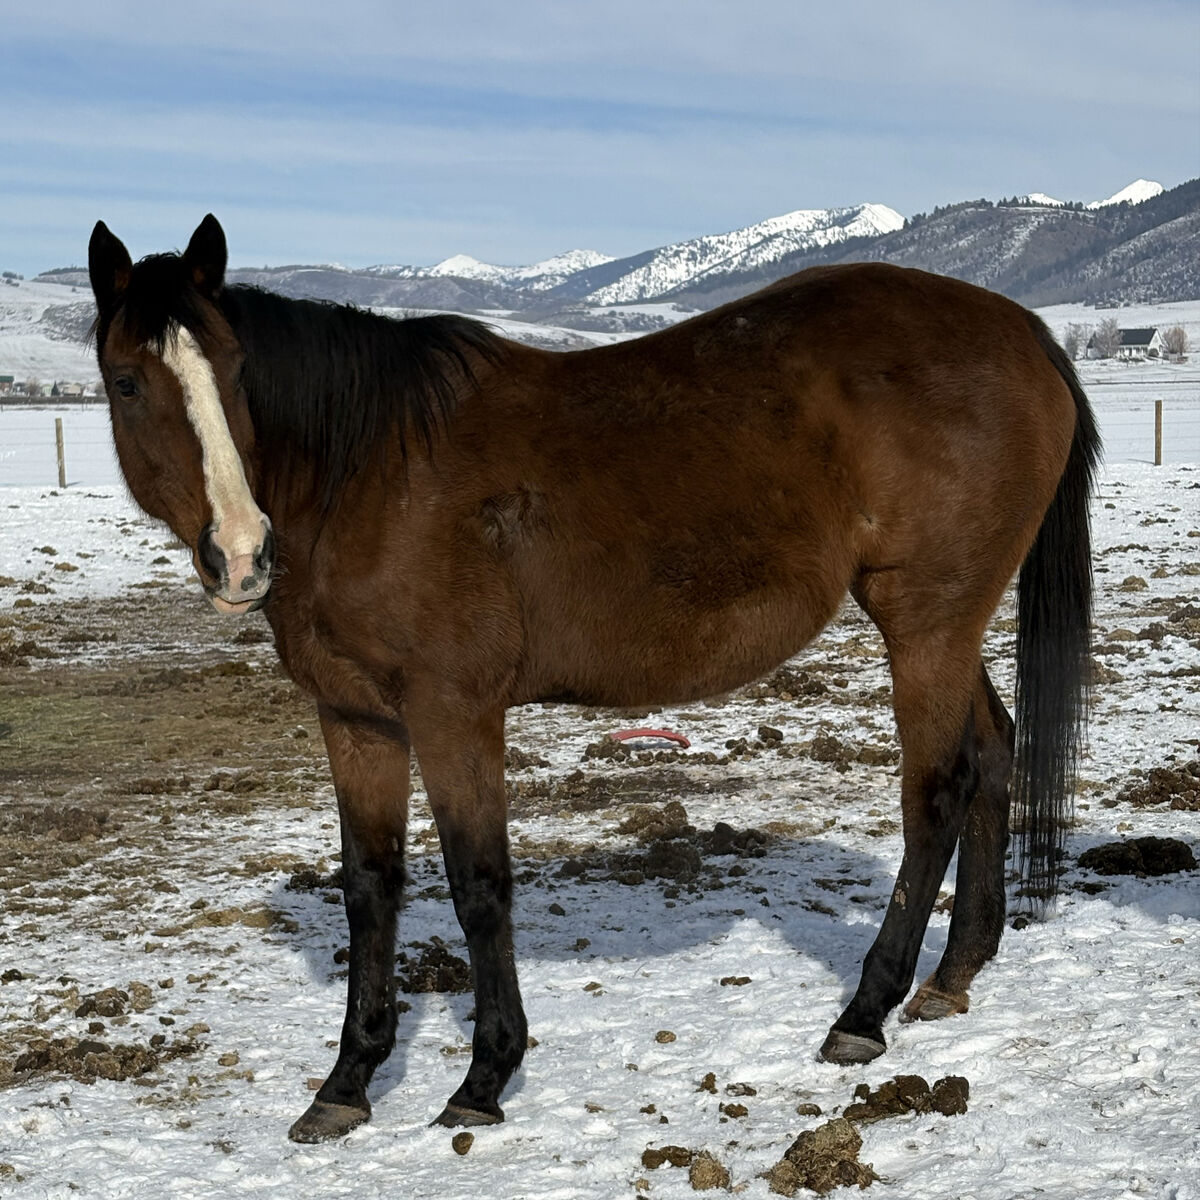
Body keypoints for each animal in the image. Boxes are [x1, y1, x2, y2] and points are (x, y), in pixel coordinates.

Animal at [87, 214, 1099, 1141]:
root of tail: (1024, 332)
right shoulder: (355, 718)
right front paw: (346, 1083)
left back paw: (864, 1012)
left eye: (232, 370)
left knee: (937, 791)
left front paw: (484, 1076)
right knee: (993, 752)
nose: (242, 554)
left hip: (925, 622)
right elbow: (370, 887)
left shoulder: (454, 715)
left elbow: (477, 883)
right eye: (128, 380)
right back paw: (953, 975)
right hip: (944, 628)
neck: (366, 474)